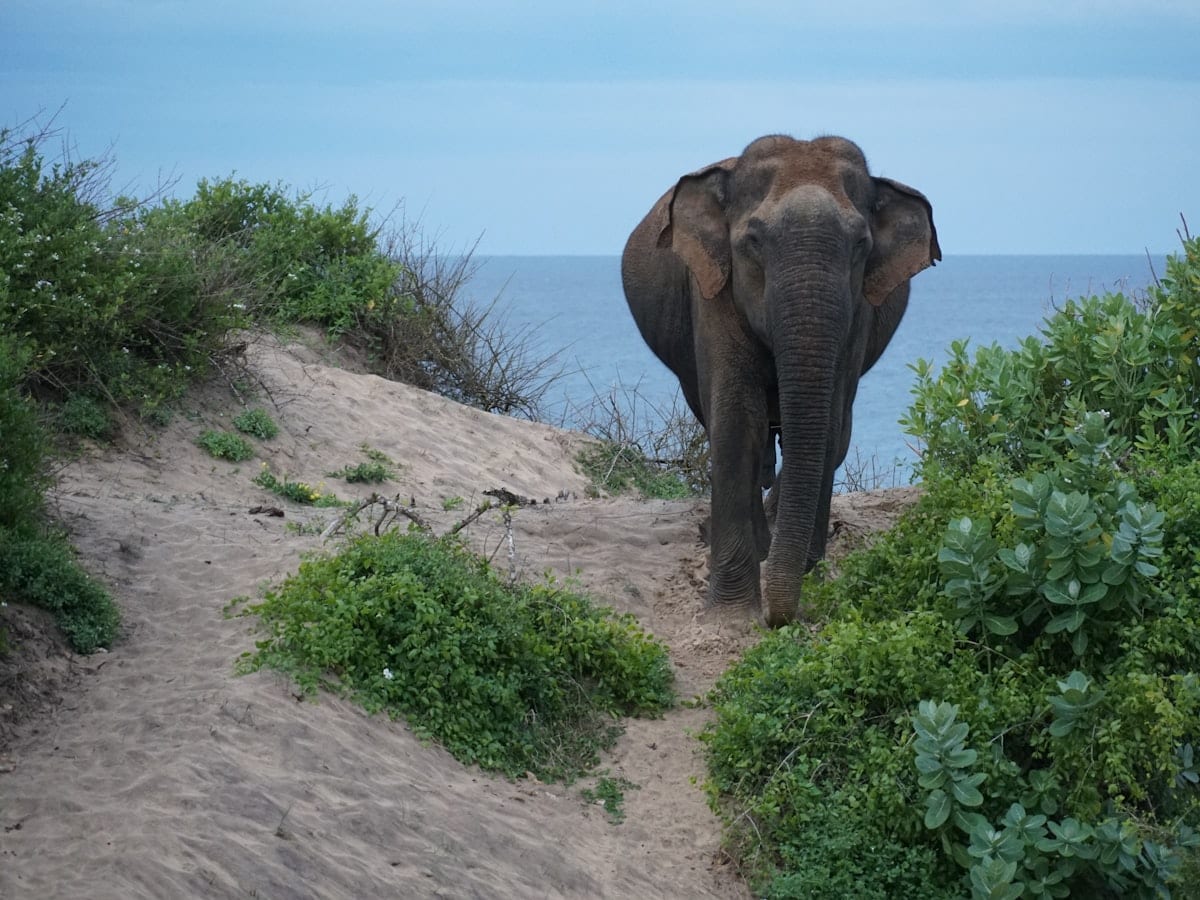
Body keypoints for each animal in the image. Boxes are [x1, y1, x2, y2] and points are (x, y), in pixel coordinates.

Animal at [621, 134, 940, 627]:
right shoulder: (713, 291)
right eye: (752, 241)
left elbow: (828, 428)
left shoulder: (858, 316)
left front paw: (806, 573)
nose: (779, 617)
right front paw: (732, 616)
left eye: (861, 244)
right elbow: (737, 422)